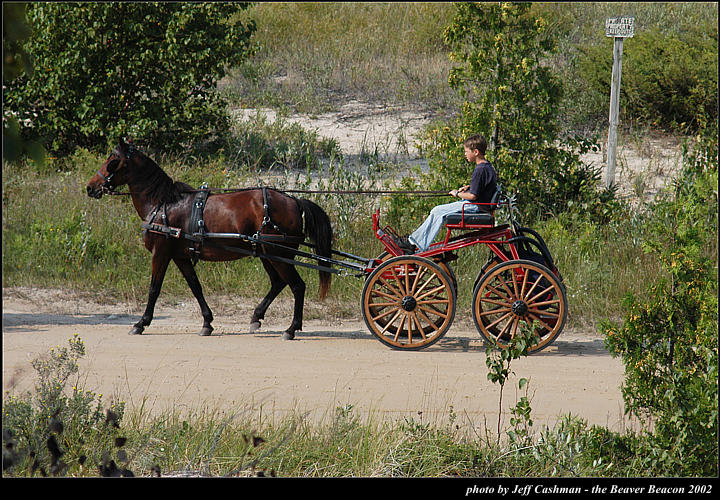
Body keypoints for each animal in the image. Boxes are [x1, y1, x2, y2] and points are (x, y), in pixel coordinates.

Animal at [86, 141, 332, 340]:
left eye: (112, 160)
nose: (90, 187)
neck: (163, 203)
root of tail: (294, 201)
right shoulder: (181, 256)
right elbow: (196, 287)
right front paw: (207, 322)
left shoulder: (161, 252)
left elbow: (154, 288)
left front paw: (141, 323)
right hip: (266, 253)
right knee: (279, 282)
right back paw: (257, 317)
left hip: (278, 253)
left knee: (297, 286)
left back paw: (291, 329)